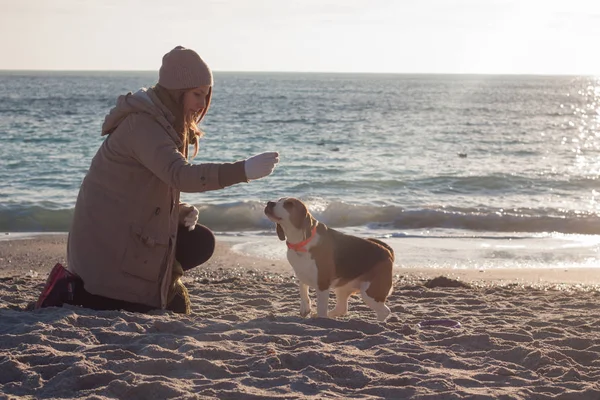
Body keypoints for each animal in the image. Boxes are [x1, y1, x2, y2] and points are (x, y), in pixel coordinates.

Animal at [266, 198, 396, 322]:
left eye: (289, 204)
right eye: (278, 200)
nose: (269, 203)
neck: (300, 243)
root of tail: (387, 252)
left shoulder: (322, 283)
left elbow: (321, 307)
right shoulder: (302, 272)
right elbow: (302, 287)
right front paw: (305, 307)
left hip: (370, 293)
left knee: (385, 311)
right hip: (342, 287)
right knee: (342, 308)